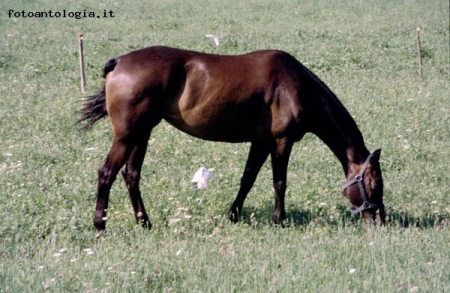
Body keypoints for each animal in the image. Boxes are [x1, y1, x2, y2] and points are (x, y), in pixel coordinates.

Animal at [78, 45, 386, 229]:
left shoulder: (261, 142)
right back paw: (99, 224)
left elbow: (247, 179)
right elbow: (279, 182)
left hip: (141, 134)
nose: (379, 219)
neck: (296, 86)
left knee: (131, 176)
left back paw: (145, 223)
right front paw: (280, 220)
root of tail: (118, 62)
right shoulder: (281, 141)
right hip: (127, 136)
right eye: (374, 183)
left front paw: (234, 215)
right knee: (106, 173)